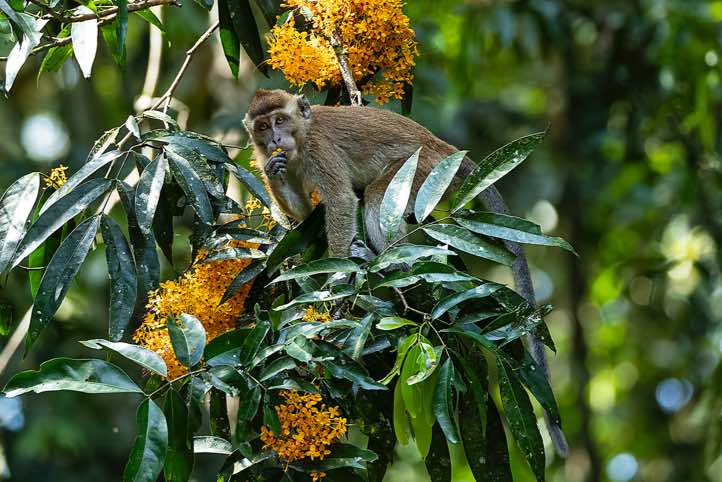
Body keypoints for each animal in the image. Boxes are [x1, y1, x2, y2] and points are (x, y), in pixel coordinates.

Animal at [243, 88, 568, 457]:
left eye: (280, 120)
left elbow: (340, 202)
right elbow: (303, 215)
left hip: (425, 171)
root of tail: (443, 147)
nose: (274, 139)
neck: (300, 139)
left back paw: (391, 263)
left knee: (375, 198)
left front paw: (335, 285)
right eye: (263, 126)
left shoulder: (318, 150)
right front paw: (273, 170)